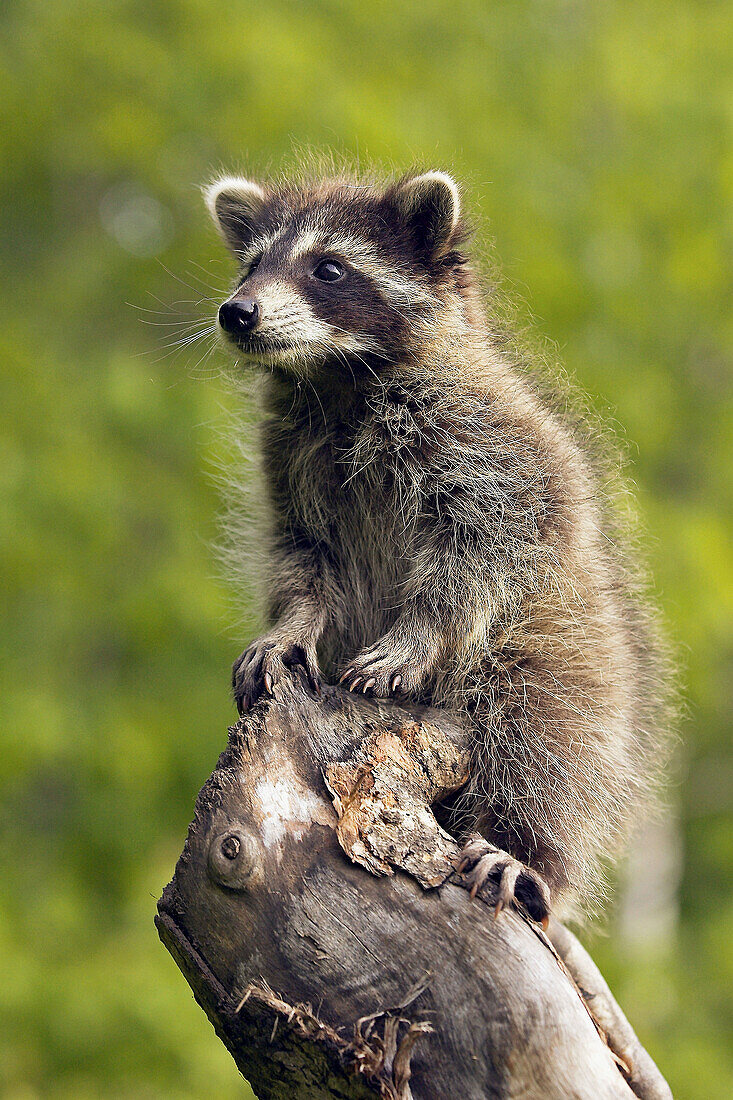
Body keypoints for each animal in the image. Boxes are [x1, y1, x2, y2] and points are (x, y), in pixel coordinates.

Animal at [200, 165, 669, 919]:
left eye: (328, 268)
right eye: (251, 265)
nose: (237, 311)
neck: (337, 377)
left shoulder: (487, 441)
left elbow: (482, 551)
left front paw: (418, 635)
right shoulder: (291, 461)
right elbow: (303, 559)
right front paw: (292, 625)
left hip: (579, 660)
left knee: (547, 737)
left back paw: (523, 845)